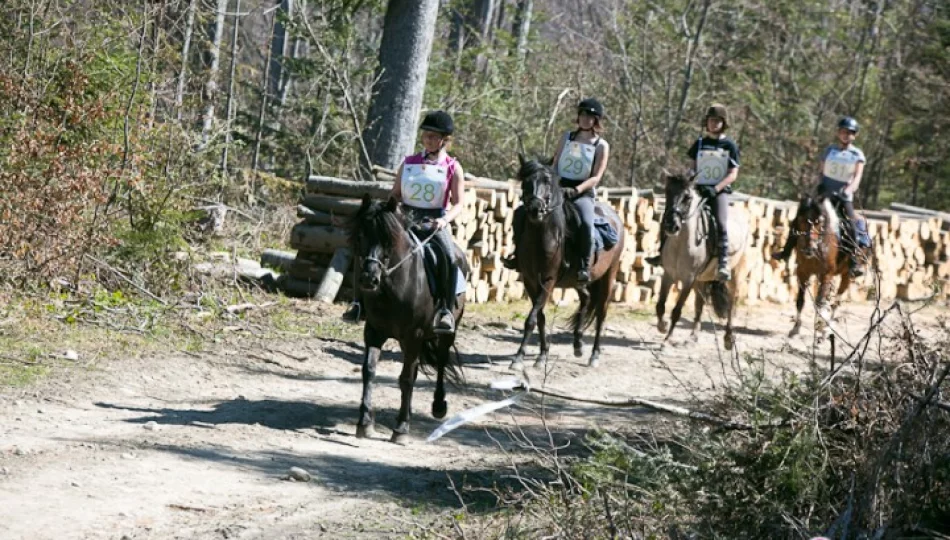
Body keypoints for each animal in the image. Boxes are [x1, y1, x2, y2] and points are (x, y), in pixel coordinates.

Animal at [348, 194, 470, 442]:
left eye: (389, 240)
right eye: (361, 235)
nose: (368, 279)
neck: (392, 287)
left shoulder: (414, 335)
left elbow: (405, 379)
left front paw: (401, 428)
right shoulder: (374, 331)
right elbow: (369, 371)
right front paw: (365, 422)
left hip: (444, 334)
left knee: (440, 362)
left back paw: (438, 406)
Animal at [510, 154, 628, 370]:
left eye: (547, 181)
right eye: (525, 182)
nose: (536, 210)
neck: (541, 237)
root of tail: (615, 216)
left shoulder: (547, 281)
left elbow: (531, 318)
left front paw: (519, 358)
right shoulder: (530, 281)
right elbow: (539, 317)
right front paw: (541, 355)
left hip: (609, 275)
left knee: (601, 313)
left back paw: (594, 356)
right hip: (576, 280)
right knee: (586, 299)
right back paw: (578, 344)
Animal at [660, 173, 748, 350]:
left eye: (687, 197)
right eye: (667, 192)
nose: (671, 225)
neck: (681, 243)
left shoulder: (688, 280)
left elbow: (677, 311)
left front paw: (667, 339)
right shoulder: (668, 275)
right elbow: (660, 305)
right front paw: (662, 326)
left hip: (735, 275)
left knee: (732, 303)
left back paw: (728, 339)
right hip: (701, 279)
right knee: (699, 304)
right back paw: (692, 337)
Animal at [784, 193, 868, 338]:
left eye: (819, 221)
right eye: (801, 219)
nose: (809, 249)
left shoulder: (826, 275)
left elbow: (820, 302)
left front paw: (819, 328)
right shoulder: (803, 273)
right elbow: (800, 301)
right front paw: (795, 329)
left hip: (847, 275)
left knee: (836, 301)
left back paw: (828, 327)